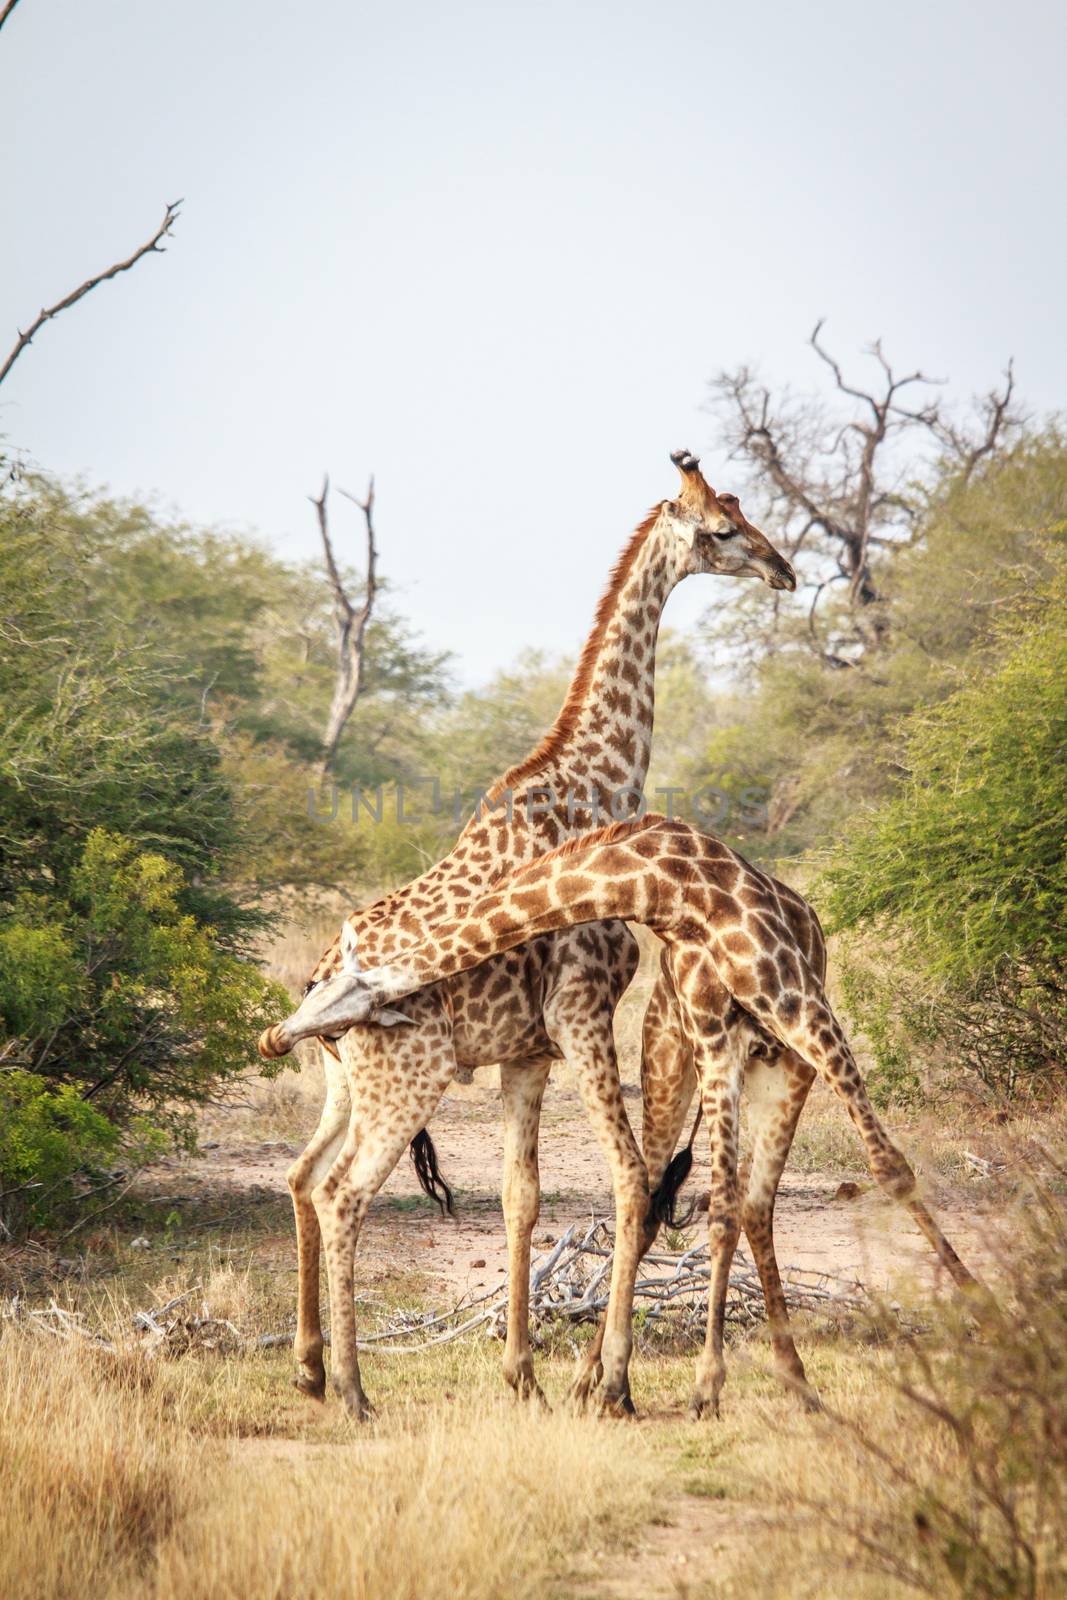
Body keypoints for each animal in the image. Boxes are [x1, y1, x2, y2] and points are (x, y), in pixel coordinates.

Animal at [262, 819, 972, 1420]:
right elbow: (708, 1204)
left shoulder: (802, 1011)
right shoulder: (711, 1035)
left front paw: (979, 1307)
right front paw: (694, 1385)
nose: (277, 1037)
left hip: (776, 1063)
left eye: (331, 996)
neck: (669, 883)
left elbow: (888, 1167)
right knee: (703, 1196)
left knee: (748, 1202)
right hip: (680, 1060)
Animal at [279, 451, 796, 1414]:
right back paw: (356, 1392)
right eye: (721, 529)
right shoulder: (582, 1012)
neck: (596, 782)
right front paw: (613, 1383)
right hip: (407, 1081)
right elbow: (628, 1180)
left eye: (745, 515)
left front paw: (523, 1374)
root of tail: (315, 985)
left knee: (300, 1176)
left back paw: (310, 1367)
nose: (783, 570)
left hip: (346, 1083)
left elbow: (523, 1195)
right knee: (340, 1195)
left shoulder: (526, 1050)